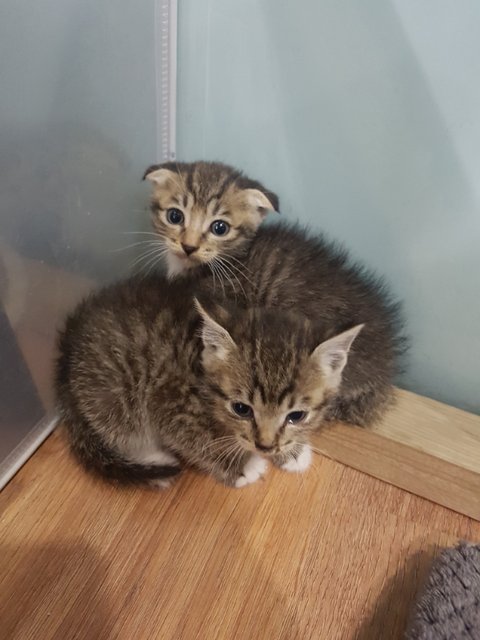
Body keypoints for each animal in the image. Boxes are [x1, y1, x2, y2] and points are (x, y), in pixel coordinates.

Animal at [55, 275, 362, 488]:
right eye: (241, 409)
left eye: (296, 415)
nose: (264, 447)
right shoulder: (167, 400)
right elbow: (196, 440)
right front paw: (243, 466)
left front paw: (292, 451)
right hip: (116, 397)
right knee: (121, 431)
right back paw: (155, 463)